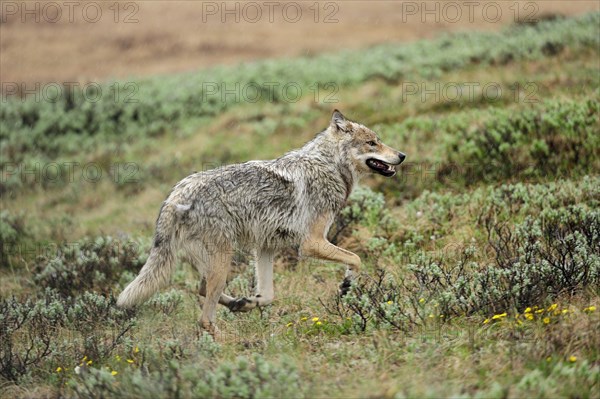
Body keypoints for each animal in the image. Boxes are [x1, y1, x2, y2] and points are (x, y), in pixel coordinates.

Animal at [118, 109, 406, 334]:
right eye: (372, 143)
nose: (402, 155)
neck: (329, 166)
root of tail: (174, 196)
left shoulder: (265, 247)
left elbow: (267, 295)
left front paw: (248, 303)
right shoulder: (311, 244)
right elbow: (356, 258)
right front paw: (346, 285)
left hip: (215, 265)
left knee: (201, 290)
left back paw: (237, 304)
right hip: (223, 261)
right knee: (204, 318)